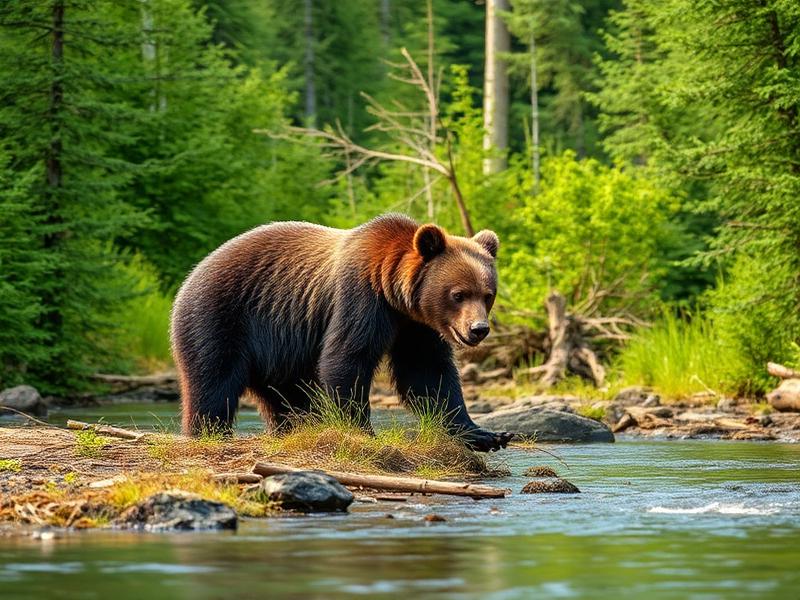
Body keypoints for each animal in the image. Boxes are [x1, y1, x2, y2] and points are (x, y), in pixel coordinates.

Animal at [171, 213, 512, 452]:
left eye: (488, 294)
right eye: (458, 294)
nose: (478, 329)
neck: (394, 293)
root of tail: (191, 274)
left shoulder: (416, 326)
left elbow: (428, 374)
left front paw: (487, 434)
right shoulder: (360, 299)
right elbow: (347, 359)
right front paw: (362, 431)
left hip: (280, 352)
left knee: (288, 395)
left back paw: (297, 427)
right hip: (221, 317)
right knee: (213, 380)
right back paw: (207, 432)